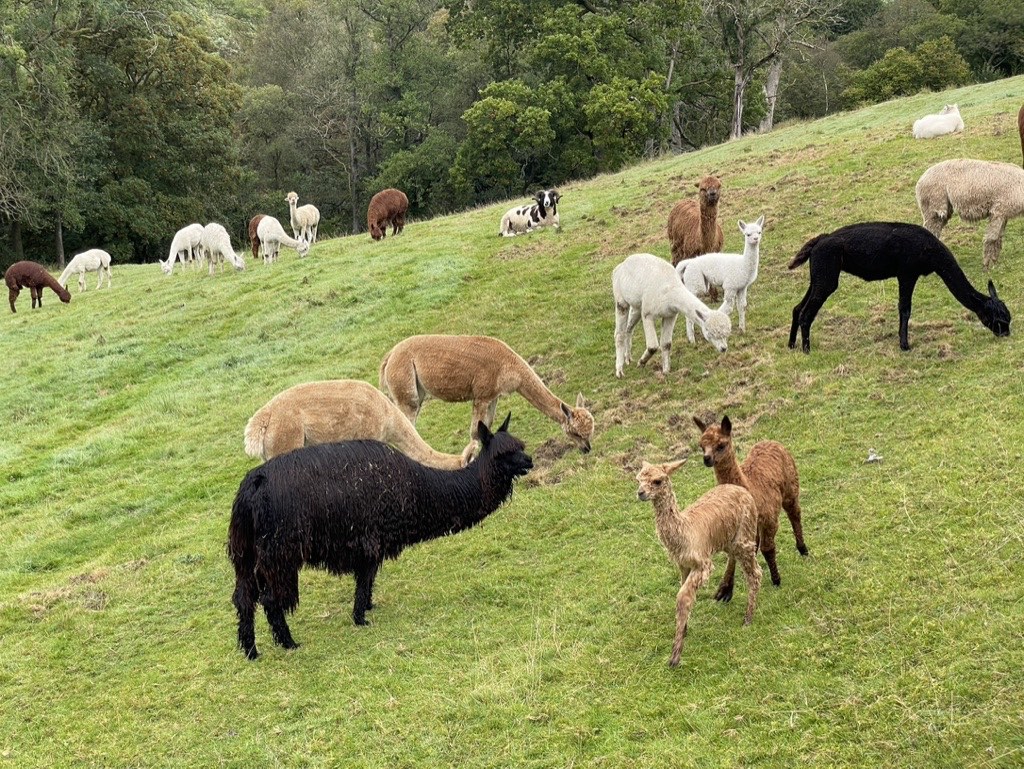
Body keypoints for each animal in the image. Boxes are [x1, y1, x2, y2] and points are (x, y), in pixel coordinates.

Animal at [228, 411, 532, 659]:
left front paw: (368, 608)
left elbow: (369, 580)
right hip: (280, 552)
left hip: (246, 551)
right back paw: (288, 643)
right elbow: (364, 580)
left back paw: (251, 651)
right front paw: (360, 618)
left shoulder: (372, 543)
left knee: (243, 597)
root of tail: (254, 484)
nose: (529, 462)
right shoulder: (370, 540)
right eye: (504, 454)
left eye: (521, 446)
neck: (417, 489)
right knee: (270, 599)